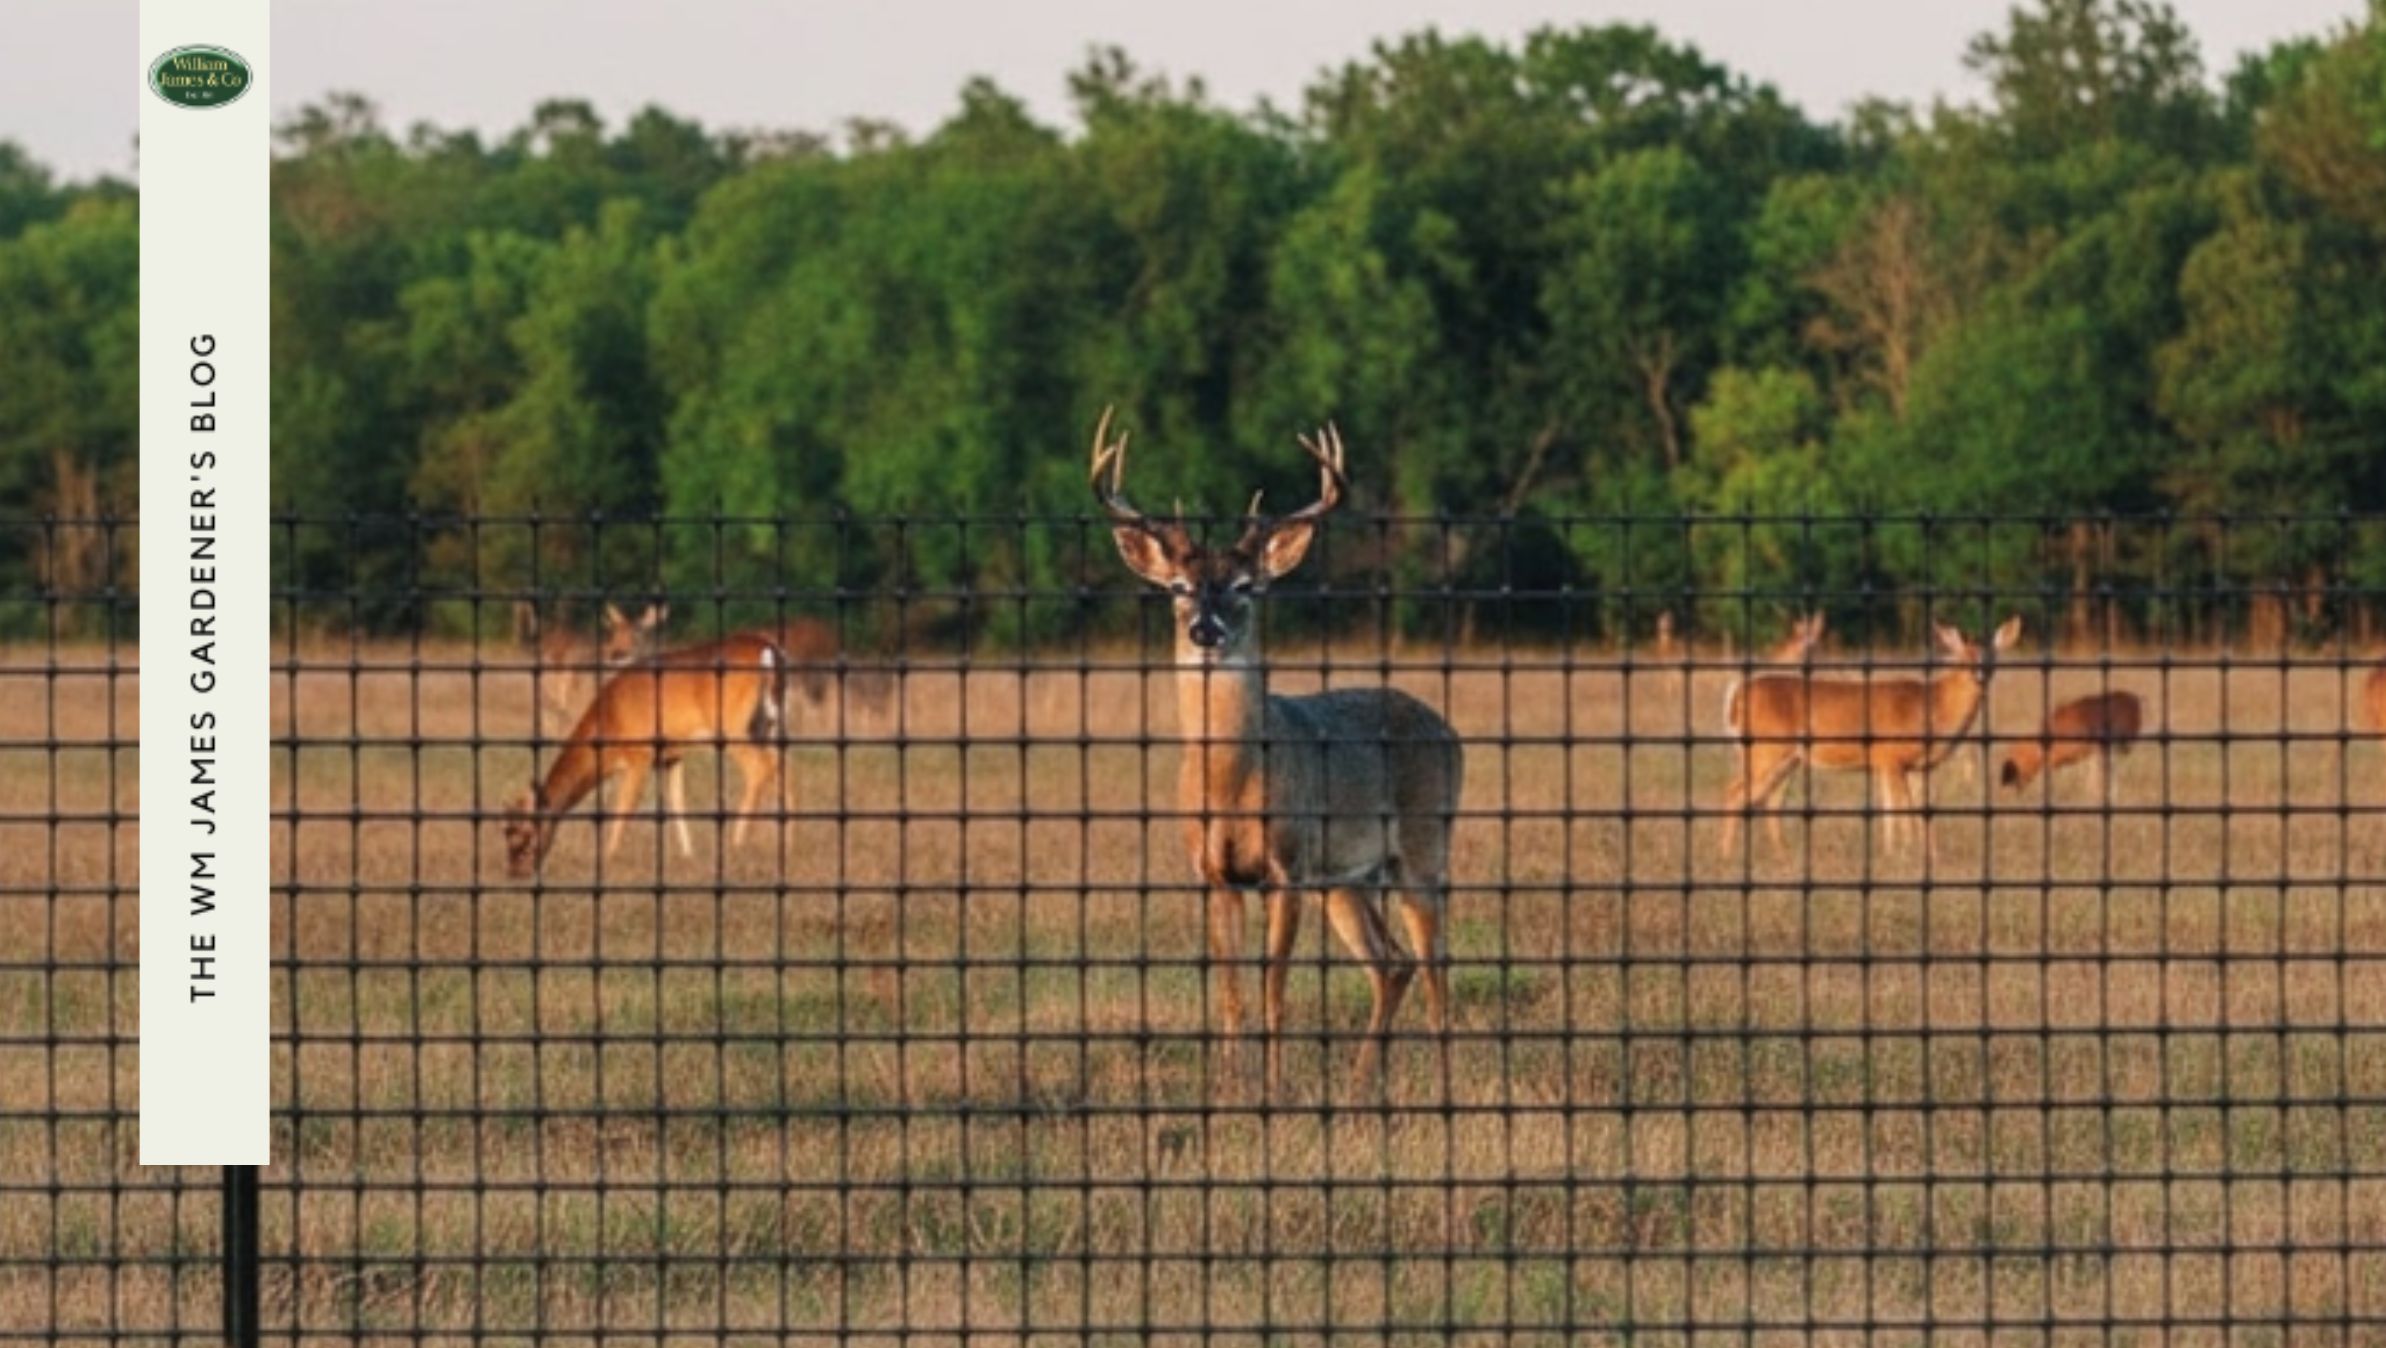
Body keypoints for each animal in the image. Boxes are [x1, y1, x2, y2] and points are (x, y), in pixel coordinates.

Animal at [501, 634, 789, 878]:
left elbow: (624, 806)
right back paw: (788, 845)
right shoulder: (670, 756)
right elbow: (677, 801)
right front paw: (688, 856)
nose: (516, 873)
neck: (609, 725)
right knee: (782, 767)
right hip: (768, 723)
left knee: (760, 768)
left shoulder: (640, 755)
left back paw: (737, 843)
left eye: (525, 834)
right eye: (504, 831)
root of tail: (769, 650)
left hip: (733, 723)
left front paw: (608, 858)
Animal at [1091, 409, 1463, 1096]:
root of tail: (1447, 730)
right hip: (1347, 878)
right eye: (1179, 585)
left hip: (1423, 845)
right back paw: (1357, 1086)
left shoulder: (1286, 867)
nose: (1204, 629)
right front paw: (1230, 1087)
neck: (1230, 782)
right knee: (1391, 963)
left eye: (1246, 586)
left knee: (1434, 965)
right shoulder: (1215, 875)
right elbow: (1233, 992)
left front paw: (1273, 1086)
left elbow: (1274, 989)